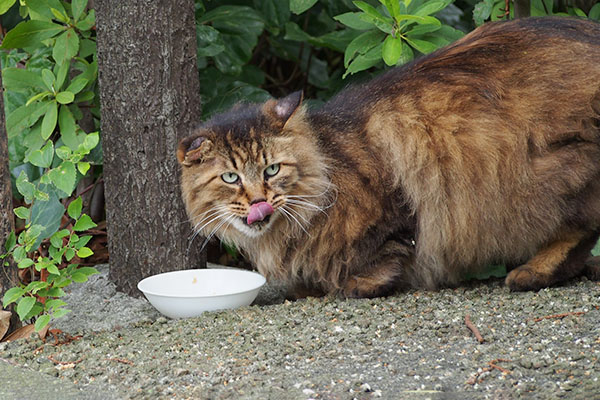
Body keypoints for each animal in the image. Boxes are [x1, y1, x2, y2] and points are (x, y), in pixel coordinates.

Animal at [177, 17, 600, 298]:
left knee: (579, 229)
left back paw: (534, 272)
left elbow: (389, 249)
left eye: (271, 169)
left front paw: (360, 283)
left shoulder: (395, 199)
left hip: (554, 170)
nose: (258, 202)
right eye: (231, 178)